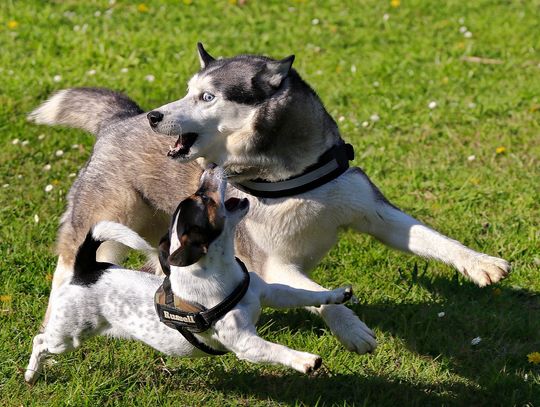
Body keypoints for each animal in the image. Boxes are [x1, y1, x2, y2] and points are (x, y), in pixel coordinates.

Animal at [25, 165, 352, 382]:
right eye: (204, 199)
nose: (211, 167)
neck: (222, 274)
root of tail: (87, 269)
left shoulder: (269, 292)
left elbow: (304, 294)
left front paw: (337, 294)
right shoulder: (246, 344)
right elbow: (277, 349)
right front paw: (305, 360)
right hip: (68, 336)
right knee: (40, 342)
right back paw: (31, 374)